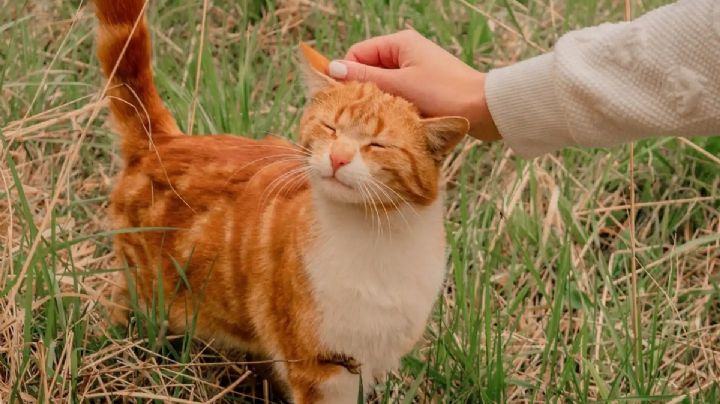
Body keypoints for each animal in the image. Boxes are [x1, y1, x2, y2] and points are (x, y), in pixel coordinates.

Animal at [94, 1, 466, 402]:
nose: (338, 157)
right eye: (330, 128)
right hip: (147, 296)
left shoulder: (373, 360)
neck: (377, 239)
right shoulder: (319, 370)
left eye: (377, 144)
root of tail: (163, 141)